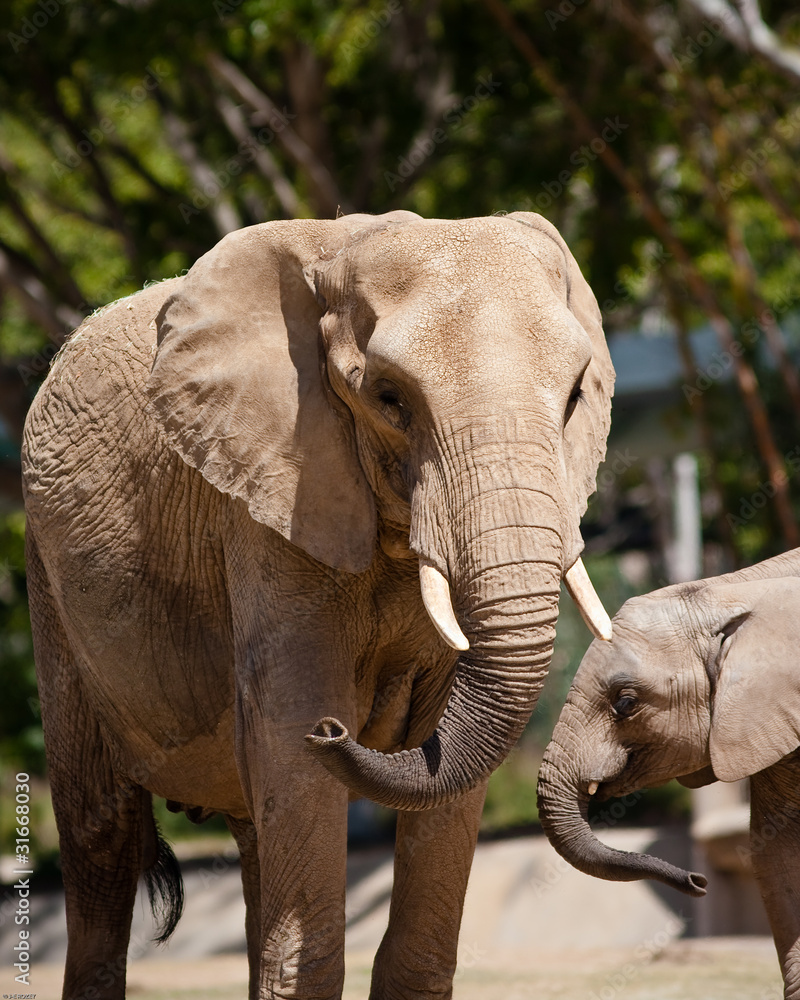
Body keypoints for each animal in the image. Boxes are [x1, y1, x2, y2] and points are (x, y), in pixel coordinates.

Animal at [22, 210, 615, 1000]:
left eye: (575, 397)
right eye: (390, 399)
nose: (337, 734)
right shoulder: (273, 493)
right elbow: (289, 725)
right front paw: (316, 727)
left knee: (249, 828)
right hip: (49, 584)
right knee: (102, 835)